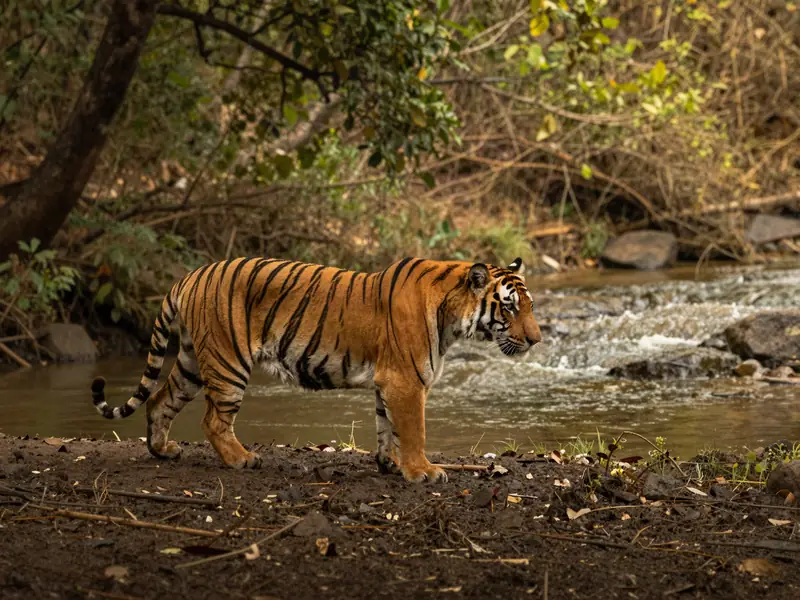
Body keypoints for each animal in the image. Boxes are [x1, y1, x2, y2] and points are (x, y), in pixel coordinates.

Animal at [90, 256, 542, 483]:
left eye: (530, 306)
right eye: (509, 307)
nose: (537, 340)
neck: (452, 315)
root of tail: (188, 276)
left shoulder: (389, 382)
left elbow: (387, 427)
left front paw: (390, 464)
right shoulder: (406, 381)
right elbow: (414, 430)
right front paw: (423, 472)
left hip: (190, 362)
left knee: (159, 400)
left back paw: (162, 449)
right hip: (227, 361)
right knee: (213, 421)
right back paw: (242, 460)